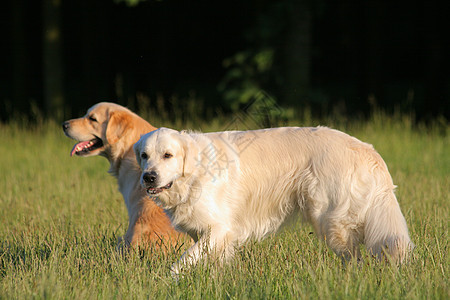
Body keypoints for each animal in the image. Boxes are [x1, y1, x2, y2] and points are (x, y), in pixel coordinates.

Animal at [133, 126, 412, 274]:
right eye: (145, 155)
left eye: (168, 155)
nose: (148, 177)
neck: (193, 173)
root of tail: (368, 150)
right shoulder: (207, 233)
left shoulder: (220, 228)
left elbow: (182, 262)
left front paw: (167, 280)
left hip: (332, 221)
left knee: (355, 258)